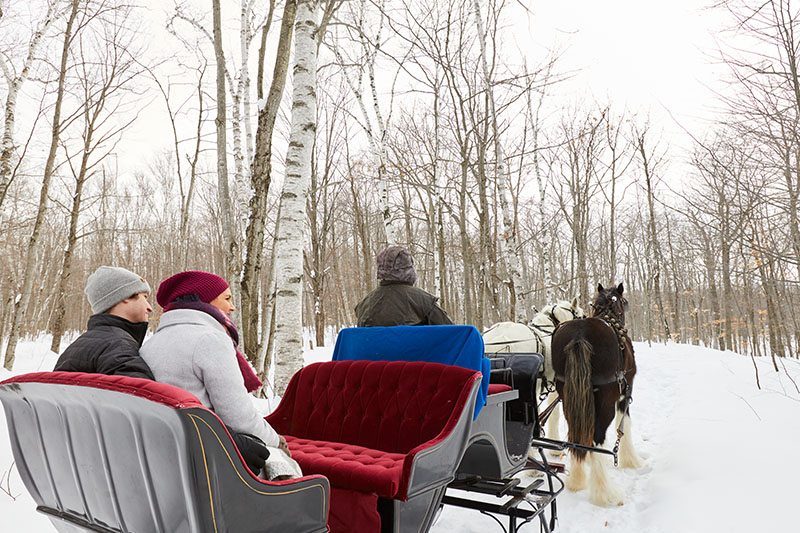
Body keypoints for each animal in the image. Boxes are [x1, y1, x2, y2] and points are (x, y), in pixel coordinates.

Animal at [552, 282, 644, 502]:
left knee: (575, 433)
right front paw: (631, 460)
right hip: (605, 399)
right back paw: (604, 492)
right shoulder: (625, 392)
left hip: (566, 394)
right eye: (624, 301)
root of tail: (578, 336)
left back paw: (576, 480)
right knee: (597, 435)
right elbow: (624, 425)